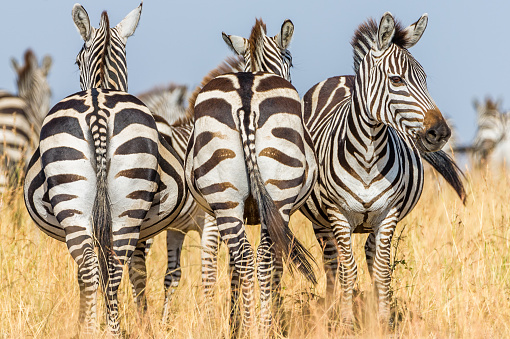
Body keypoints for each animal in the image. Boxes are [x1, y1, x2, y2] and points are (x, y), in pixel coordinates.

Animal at [23, 3, 186, 336]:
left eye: (76, 61)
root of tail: (98, 105)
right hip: (123, 207)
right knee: (111, 266)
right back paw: (108, 329)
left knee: (92, 267)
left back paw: (90, 329)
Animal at [185, 17, 316, 334]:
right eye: (290, 59)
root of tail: (246, 99)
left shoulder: (219, 213)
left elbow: (226, 266)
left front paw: (232, 323)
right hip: (278, 197)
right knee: (265, 258)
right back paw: (262, 327)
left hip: (226, 196)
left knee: (245, 257)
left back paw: (248, 326)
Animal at [298, 12, 454, 326]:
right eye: (396, 79)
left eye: (425, 80)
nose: (440, 133)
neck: (369, 157)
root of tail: (342, 77)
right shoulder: (338, 214)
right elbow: (348, 271)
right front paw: (346, 322)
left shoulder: (388, 212)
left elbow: (382, 270)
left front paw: (383, 321)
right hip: (320, 222)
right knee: (332, 263)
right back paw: (331, 311)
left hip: (372, 221)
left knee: (371, 255)